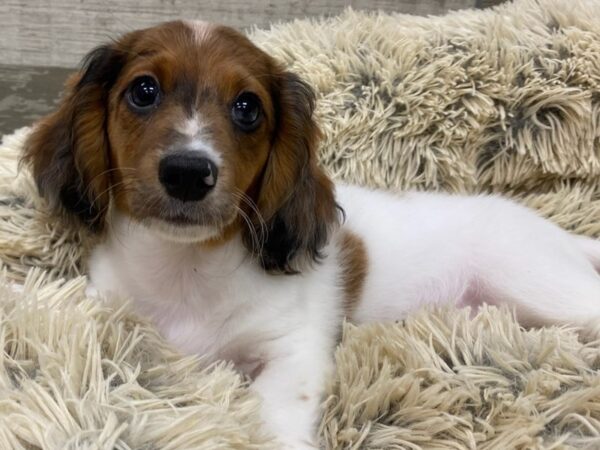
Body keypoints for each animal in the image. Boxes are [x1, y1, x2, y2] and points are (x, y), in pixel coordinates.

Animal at [23, 20, 600, 450]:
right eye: (144, 91)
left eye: (247, 108)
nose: (188, 172)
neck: (185, 270)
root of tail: (557, 233)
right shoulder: (114, 310)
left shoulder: (294, 350)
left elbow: (275, 408)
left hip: (539, 284)